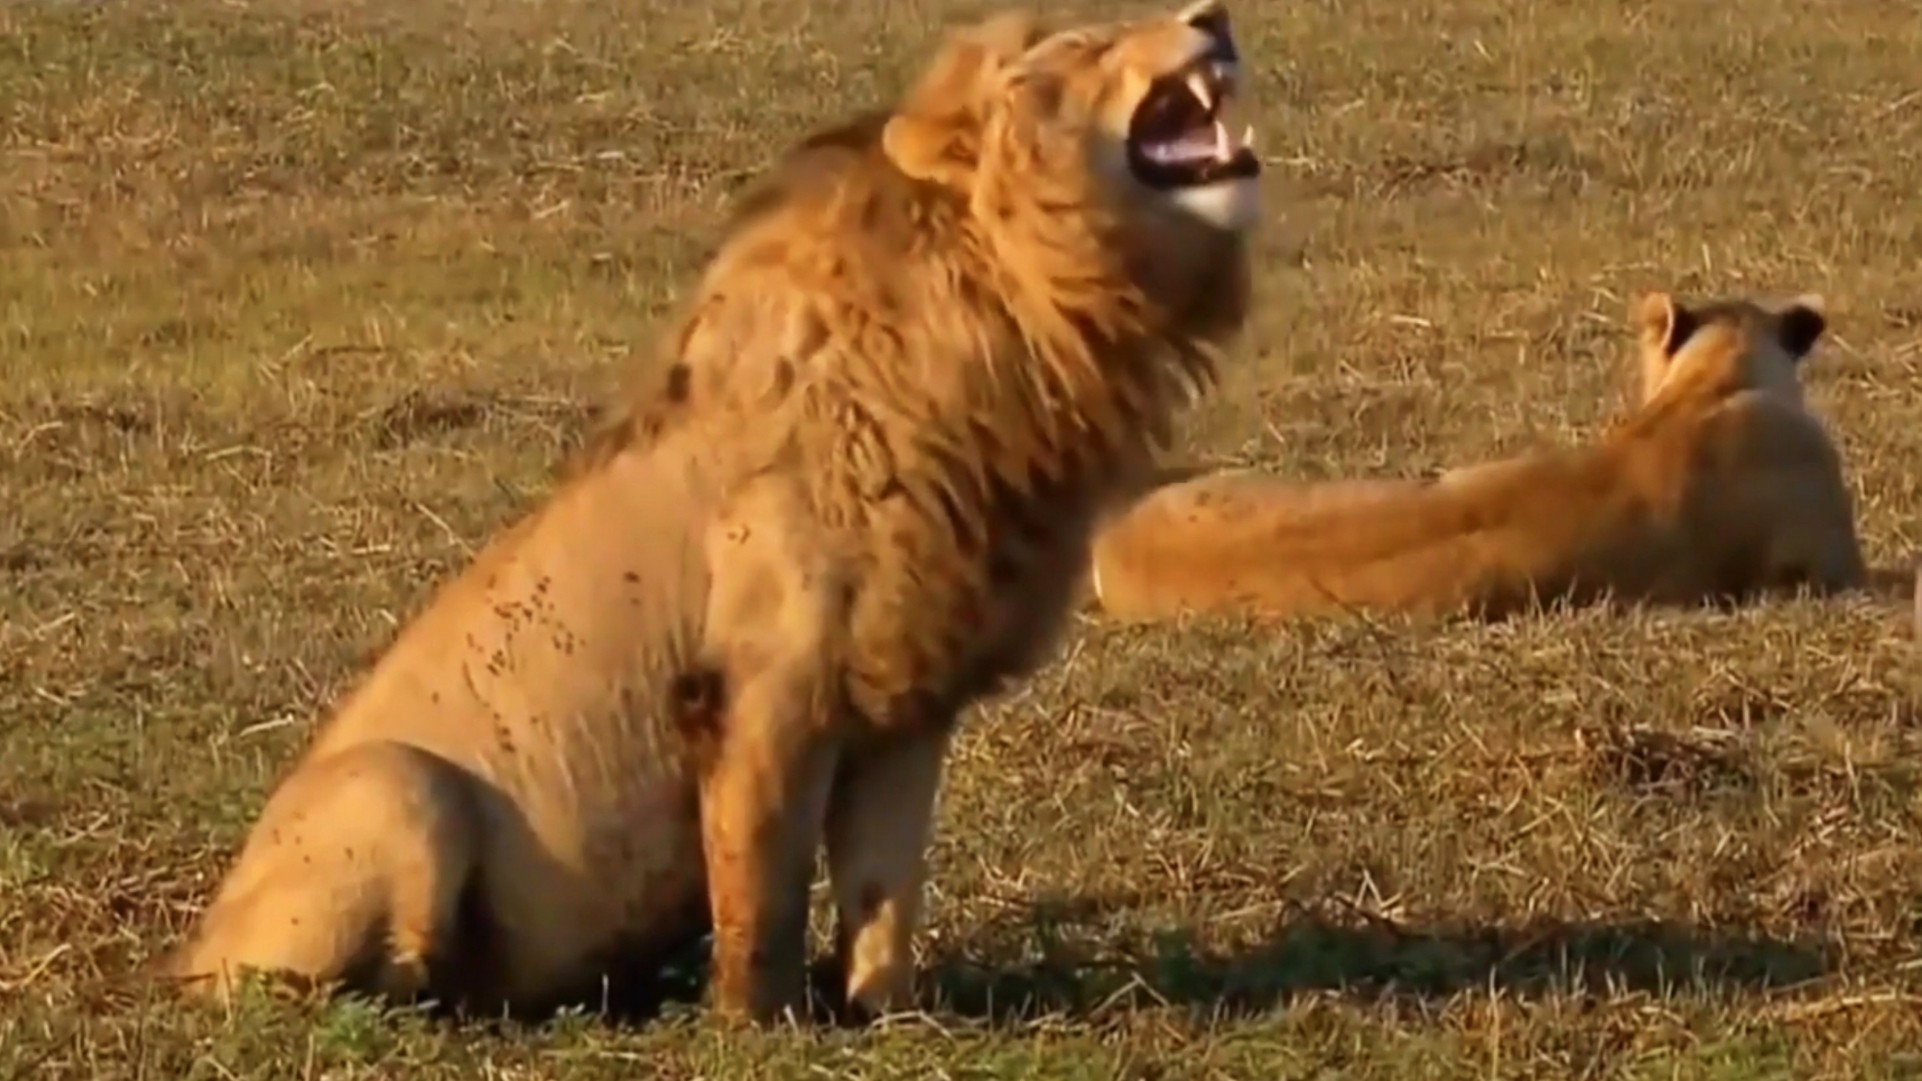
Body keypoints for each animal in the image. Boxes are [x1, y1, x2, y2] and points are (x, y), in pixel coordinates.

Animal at [158, 1, 1261, 1025]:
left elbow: (886, 888)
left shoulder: (905, 705)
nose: (1211, 17)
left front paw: (888, 1016)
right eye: (1080, 45)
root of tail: (188, 948)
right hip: (397, 785)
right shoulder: (760, 687)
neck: (1024, 319)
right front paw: (759, 1025)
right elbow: (763, 885)